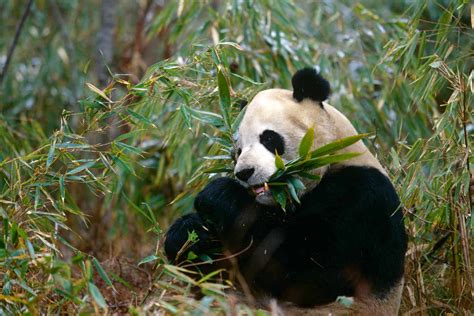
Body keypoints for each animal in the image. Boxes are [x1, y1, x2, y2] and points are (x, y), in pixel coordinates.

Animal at [164, 68, 408, 314]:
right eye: (238, 150)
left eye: (269, 138)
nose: (244, 172)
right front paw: (189, 233)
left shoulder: (362, 200)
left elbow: (311, 272)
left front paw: (220, 196)